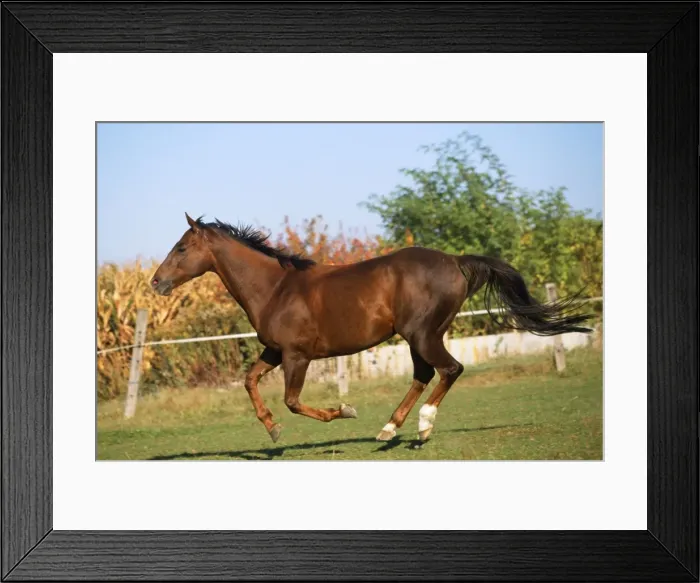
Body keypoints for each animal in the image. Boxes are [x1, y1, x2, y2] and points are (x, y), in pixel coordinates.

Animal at [151, 213, 592, 443]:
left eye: (182, 248)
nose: (156, 283)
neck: (276, 288)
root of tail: (455, 260)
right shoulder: (274, 351)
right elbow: (249, 380)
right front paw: (272, 429)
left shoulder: (297, 355)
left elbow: (294, 401)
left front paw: (345, 410)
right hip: (420, 336)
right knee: (424, 374)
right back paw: (388, 429)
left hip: (422, 334)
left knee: (449, 370)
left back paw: (422, 427)